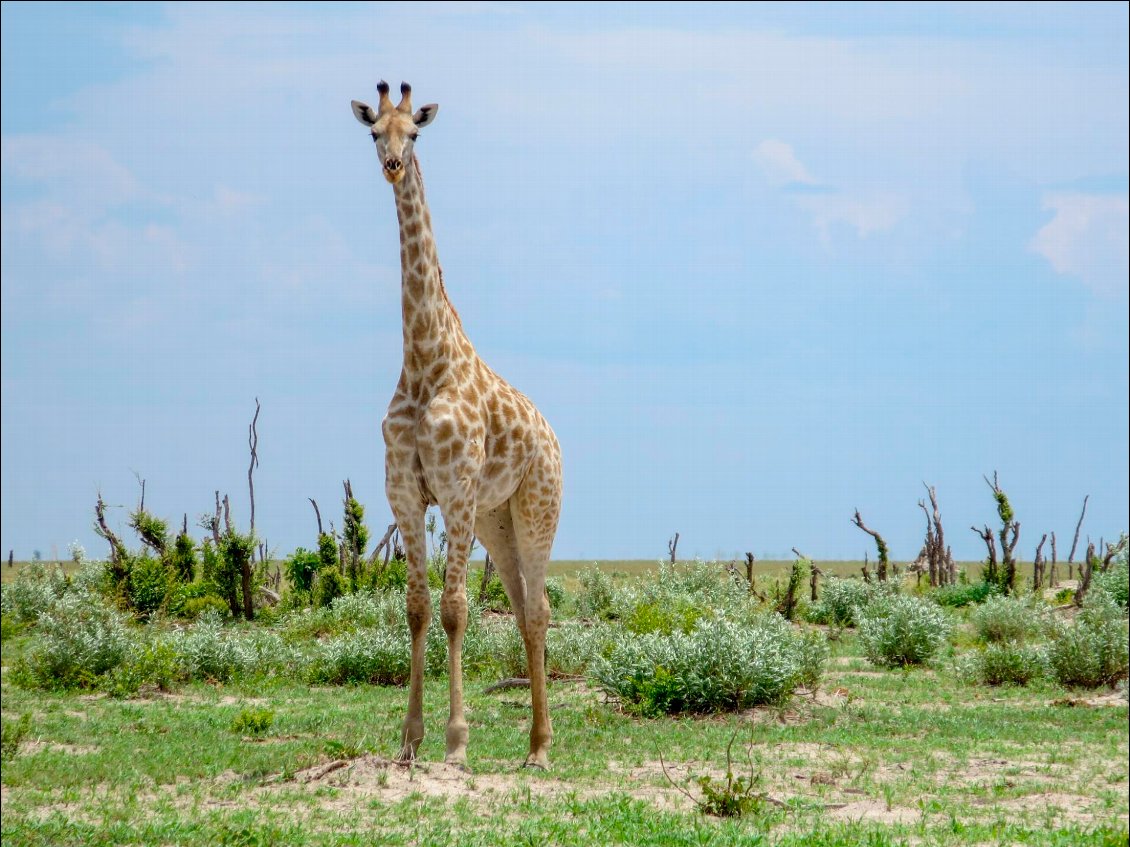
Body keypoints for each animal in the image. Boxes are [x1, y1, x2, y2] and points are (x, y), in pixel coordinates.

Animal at [350, 84, 562, 767]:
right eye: (374, 134)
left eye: (414, 134)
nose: (392, 166)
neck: (425, 360)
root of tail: (552, 437)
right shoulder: (405, 493)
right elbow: (417, 608)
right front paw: (410, 739)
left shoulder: (457, 490)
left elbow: (455, 610)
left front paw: (457, 740)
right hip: (498, 519)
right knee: (521, 608)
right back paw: (534, 743)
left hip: (536, 508)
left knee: (539, 609)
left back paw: (541, 750)